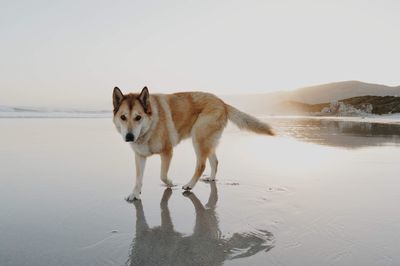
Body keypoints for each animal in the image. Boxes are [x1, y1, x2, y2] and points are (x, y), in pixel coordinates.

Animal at [112, 86, 276, 201]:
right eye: (123, 117)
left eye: (138, 117)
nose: (129, 136)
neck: (150, 126)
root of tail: (222, 102)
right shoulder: (140, 156)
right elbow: (138, 178)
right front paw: (135, 194)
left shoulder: (167, 152)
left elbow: (162, 175)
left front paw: (170, 183)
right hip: (207, 141)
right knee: (215, 161)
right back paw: (211, 178)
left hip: (198, 139)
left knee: (201, 165)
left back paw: (190, 185)